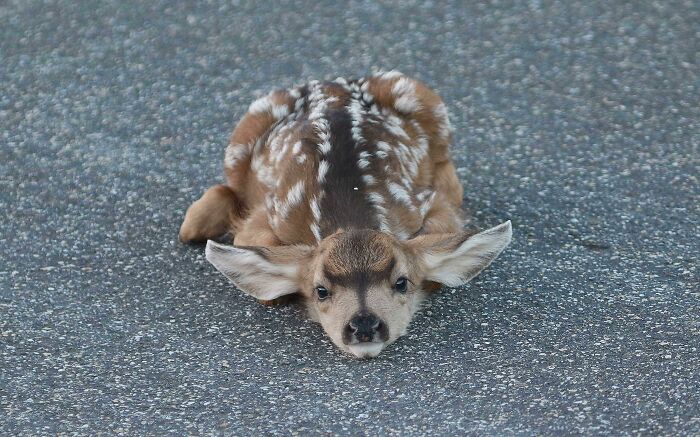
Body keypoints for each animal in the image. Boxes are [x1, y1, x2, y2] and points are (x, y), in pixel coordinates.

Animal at [179, 71, 512, 358]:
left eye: (402, 282)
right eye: (320, 291)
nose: (364, 324)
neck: (349, 214)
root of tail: (334, 84)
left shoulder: (426, 202)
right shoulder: (270, 213)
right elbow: (263, 277)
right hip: (243, 135)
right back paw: (194, 224)